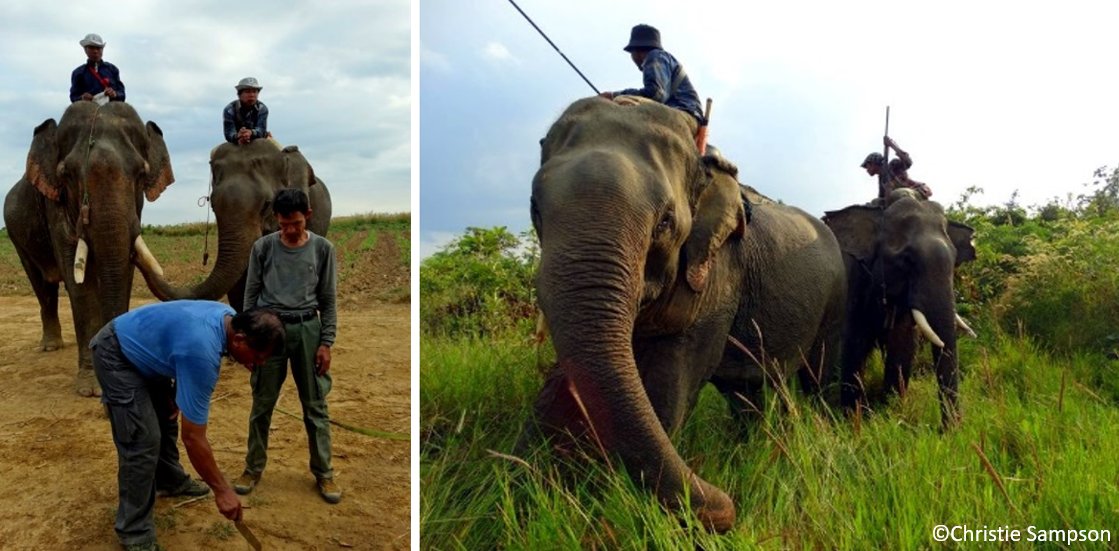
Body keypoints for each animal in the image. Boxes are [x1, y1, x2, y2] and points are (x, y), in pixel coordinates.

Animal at [3, 101, 173, 396]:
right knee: (42, 285)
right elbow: (80, 286)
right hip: (16, 235)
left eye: (141, 174)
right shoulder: (55, 205)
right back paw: (51, 346)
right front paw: (92, 389)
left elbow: (124, 272)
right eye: (67, 175)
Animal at [523, 96, 847, 533]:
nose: (729, 504)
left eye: (665, 222)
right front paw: (529, 475)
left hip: (837, 296)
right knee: (749, 391)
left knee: (817, 375)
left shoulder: (719, 271)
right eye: (534, 209)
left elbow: (672, 376)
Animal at [822, 190, 976, 427]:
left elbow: (901, 345)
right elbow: (853, 343)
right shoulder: (853, 278)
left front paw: (889, 412)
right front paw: (852, 420)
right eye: (907, 259)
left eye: (954, 261)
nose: (945, 430)